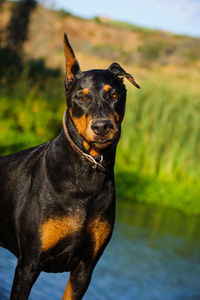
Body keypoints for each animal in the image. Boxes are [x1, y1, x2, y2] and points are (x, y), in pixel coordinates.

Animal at [0, 34, 139, 298]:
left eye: (114, 95)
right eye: (81, 97)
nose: (102, 126)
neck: (86, 175)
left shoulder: (85, 269)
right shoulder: (28, 265)